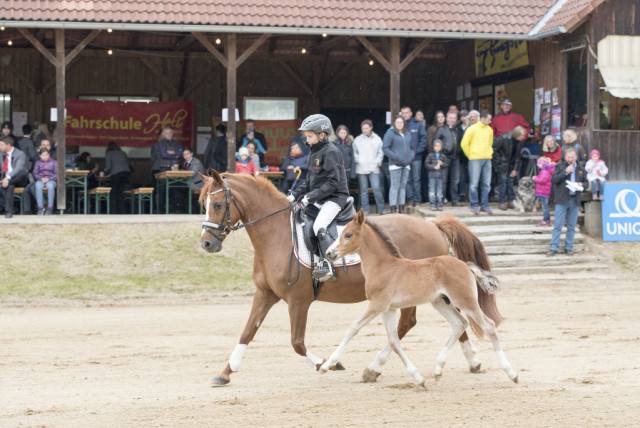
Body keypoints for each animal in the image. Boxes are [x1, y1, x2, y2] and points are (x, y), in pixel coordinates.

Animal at [199, 171, 496, 384]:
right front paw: (225, 372)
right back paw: (470, 361)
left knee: (415, 323)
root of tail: (432, 225)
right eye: (203, 204)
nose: (206, 244)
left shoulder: (298, 301)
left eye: (218, 204)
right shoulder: (265, 294)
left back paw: (377, 367)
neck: (276, 235)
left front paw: (327, 363)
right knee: (444, 320)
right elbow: (248, 331)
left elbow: (297, 343)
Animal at [322, 209, 516, 386]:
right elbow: (394, 341)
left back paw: (511, 373)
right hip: (440, 302)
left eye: (348, 235)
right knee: (459, 323)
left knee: (488, 326)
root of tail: (465, 264)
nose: (328, 253)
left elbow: (353, 328)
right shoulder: (388, 309)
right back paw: (438, 369)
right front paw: (418, 378)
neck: (383, 266)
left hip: (465, 300)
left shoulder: (377, 305)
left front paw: (327, 365)